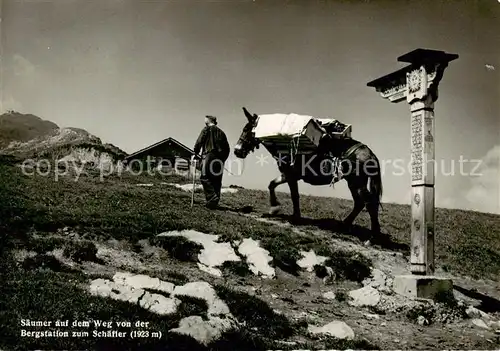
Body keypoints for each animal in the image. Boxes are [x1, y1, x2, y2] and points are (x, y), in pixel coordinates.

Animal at [234, 107, 382, 234]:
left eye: (247, 129)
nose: (237, 151)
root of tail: (369, 153)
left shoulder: (291, 176)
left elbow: (294, 195)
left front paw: (295, 217)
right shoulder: (286, 175)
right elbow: (272, 184)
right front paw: (274, 208)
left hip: (357, 182)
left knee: (369, 203)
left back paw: (372, 236)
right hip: (353, 183)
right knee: (360, 203)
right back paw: (344, 225)